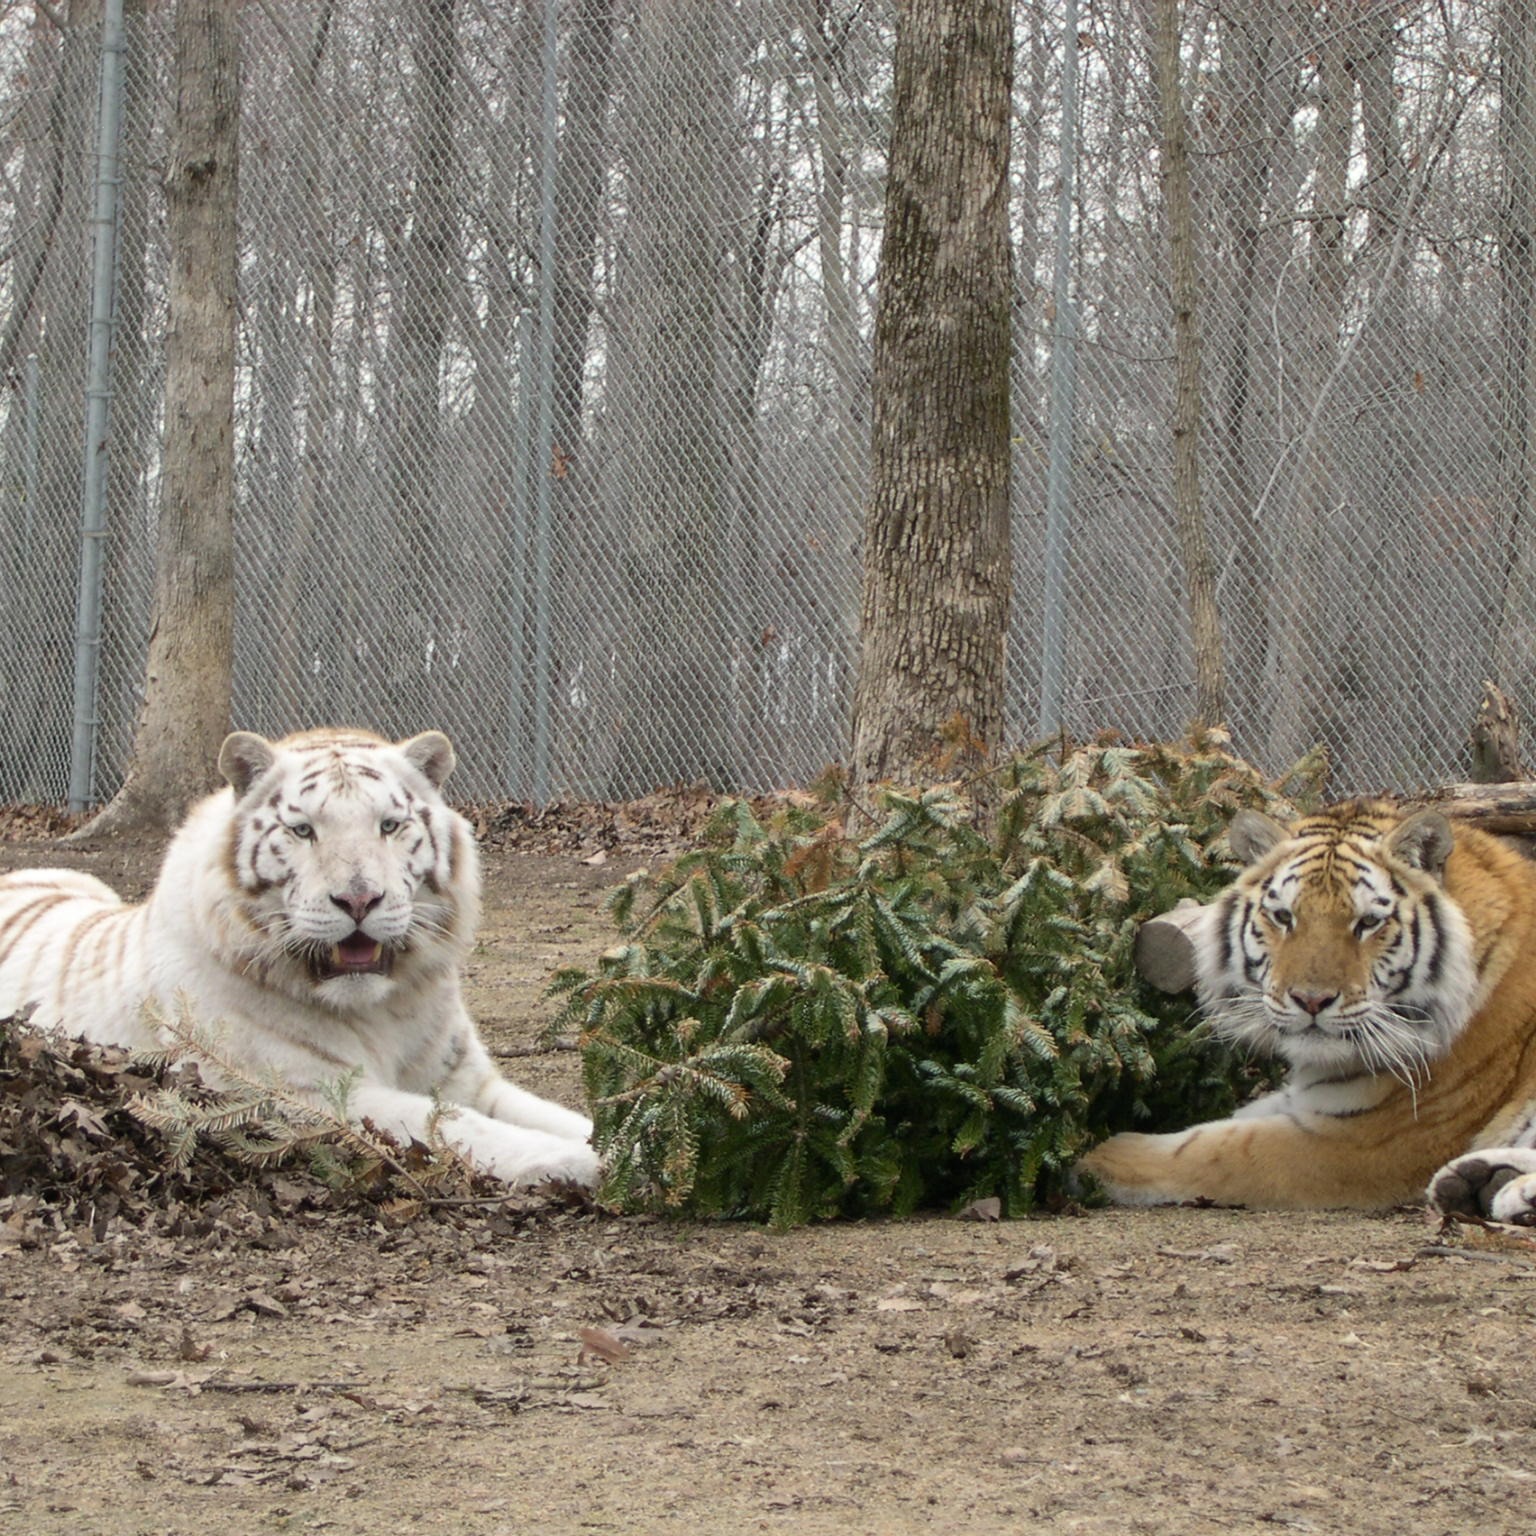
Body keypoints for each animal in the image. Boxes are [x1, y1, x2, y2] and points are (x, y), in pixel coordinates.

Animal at [0, 727, 600, 1190]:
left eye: (389, 825)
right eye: (303, 830)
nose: (359, 900)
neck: (385, 1008)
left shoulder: (469, 1082)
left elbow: (564, 1117)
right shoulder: (316, 1094)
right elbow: (459, 1126)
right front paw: (589, 1162)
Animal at [1076, 799, 1536, 1222]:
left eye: (1368, 922)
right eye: (1284, 917)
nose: (1311, 1000)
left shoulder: (1366, 1141)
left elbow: (1216, 1149)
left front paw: (1098, 1157)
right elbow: (1233, 1119)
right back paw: (1479, 1183)